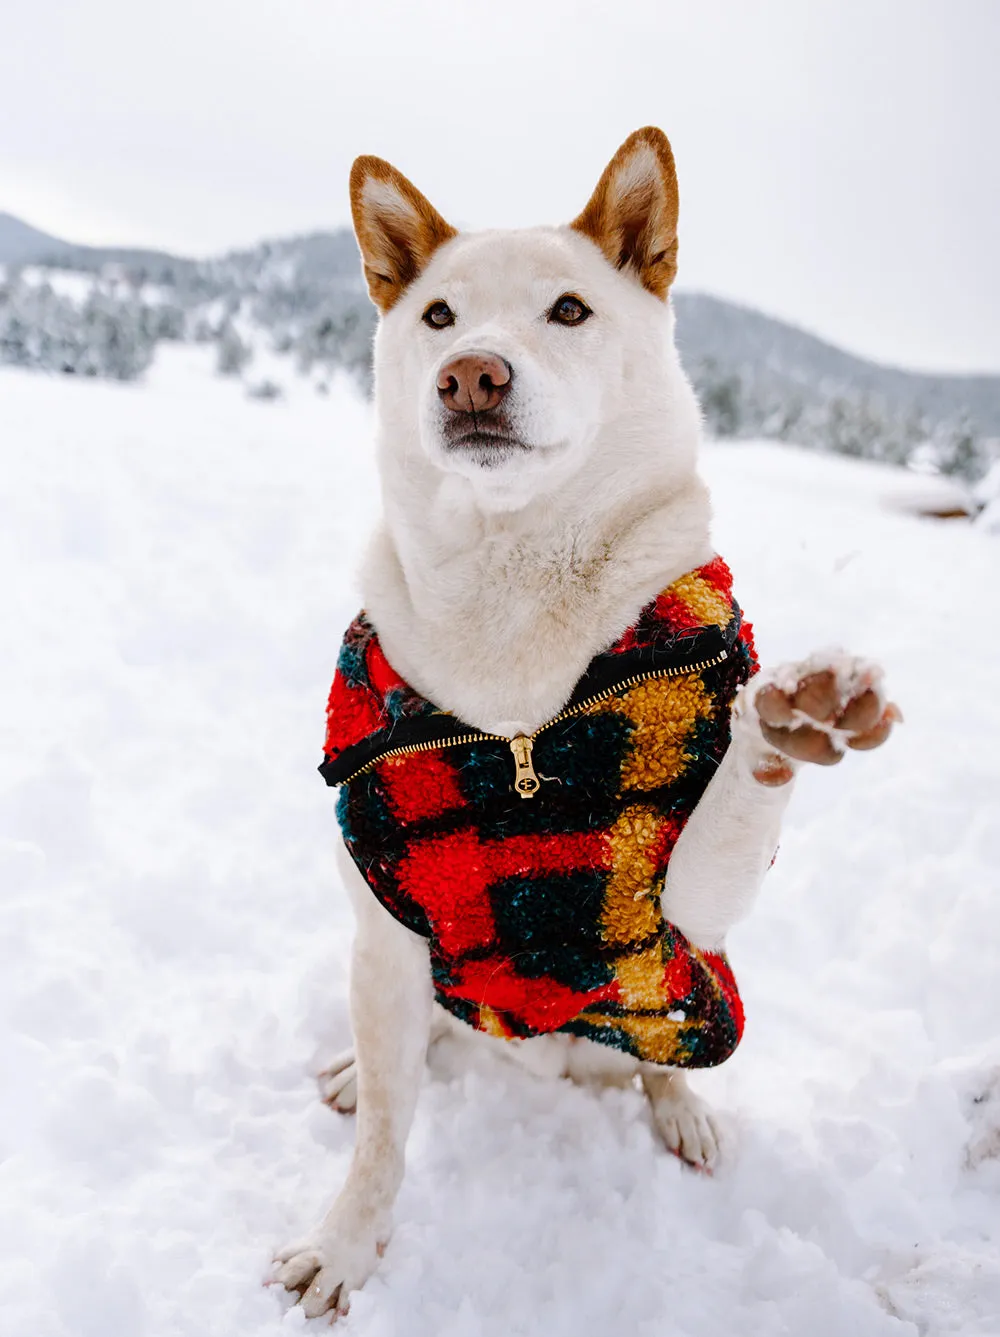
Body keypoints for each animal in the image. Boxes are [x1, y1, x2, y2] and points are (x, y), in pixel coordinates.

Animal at [271, 130, 898, 1320]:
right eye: (438, 315)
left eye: (568, 310)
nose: (471, 372)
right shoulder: (385, 913)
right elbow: (383, 1141)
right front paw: (345, 1242)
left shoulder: (688, 902)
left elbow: (744, 783)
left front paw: (794, 713)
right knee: (417, 1045)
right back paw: (363, 1065)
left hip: (684, 996)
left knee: (660, 1058)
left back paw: (682, 1109)